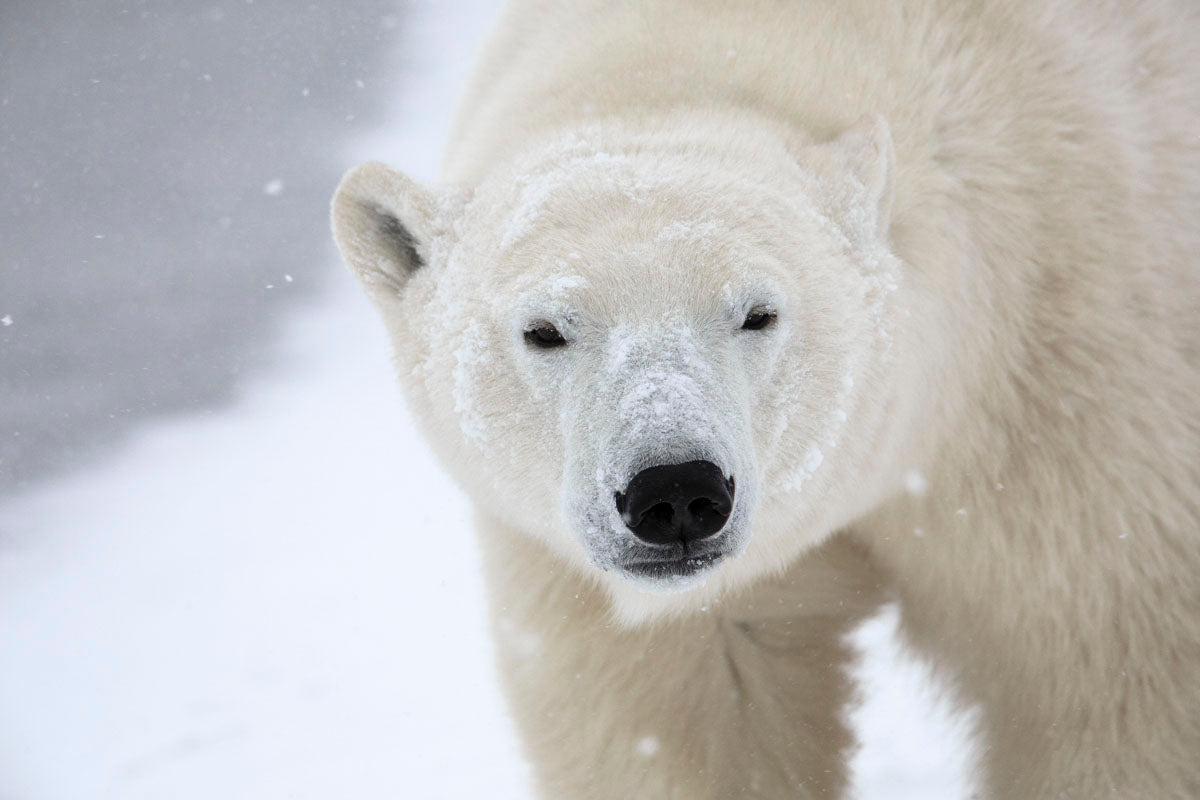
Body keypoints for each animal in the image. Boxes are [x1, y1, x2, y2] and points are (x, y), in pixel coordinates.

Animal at [331, 1, 1200, 797]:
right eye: (544, 331)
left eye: (757, 313)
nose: (675, 491)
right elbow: (689, 714)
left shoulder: (1060, 404)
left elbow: (1109, 691)